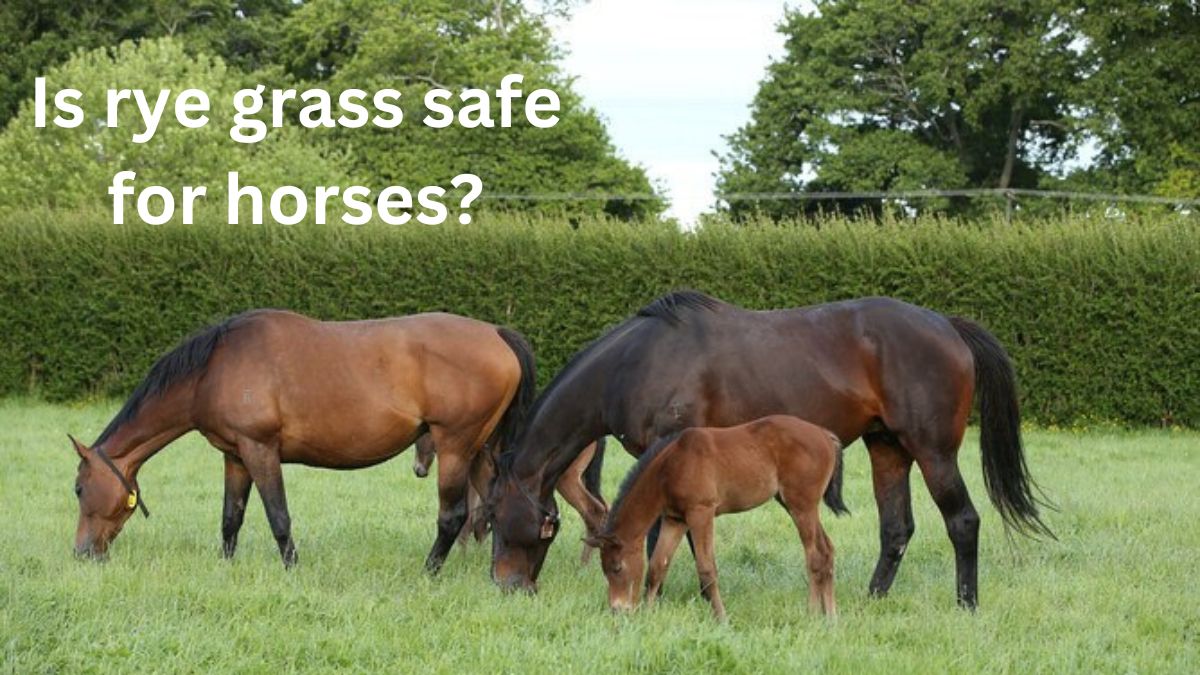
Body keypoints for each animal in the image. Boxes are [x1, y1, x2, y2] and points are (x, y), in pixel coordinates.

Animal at [69, 309, 536, 573]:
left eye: (77, 489)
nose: (82, 553)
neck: (214, 368)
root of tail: (497, 333)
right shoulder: (235, 457)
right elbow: (231, 518)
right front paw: (225, 567)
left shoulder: (260, 450)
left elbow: (279, 517)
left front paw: (292, 570)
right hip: (480, 450)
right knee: (490, 507)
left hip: (455, 447)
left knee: (453, 517)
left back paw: (429, 572)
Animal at [586, 416, 840, 620]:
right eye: (604, 569)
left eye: (617, 567)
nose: (618, 610)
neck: (672, 465)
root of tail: (825, 435)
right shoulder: (675, 519)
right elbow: (657, 566)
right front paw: (648, 614)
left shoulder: (701, 513)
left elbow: (707, 569)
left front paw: (721, 618)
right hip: (796, 505)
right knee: (826, 549)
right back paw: (829, 616)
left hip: (801, 506)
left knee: (815, 554)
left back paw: (813, 613)